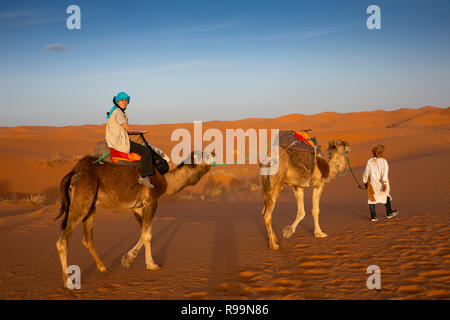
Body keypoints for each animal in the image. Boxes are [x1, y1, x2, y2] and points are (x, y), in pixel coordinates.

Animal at [55, 150, 214, 288]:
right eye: (204, 154)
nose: (214, 153)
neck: (166, 181)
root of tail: (75, 171)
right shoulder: (151, 201)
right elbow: (148, 235)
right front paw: (151, 265)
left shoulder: (136, 207)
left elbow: (143, 233)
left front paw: (128, 259)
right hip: (82, 201)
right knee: (62, 242)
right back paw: (68, 282)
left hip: (91, 206)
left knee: (87, 239)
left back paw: (103, 268)